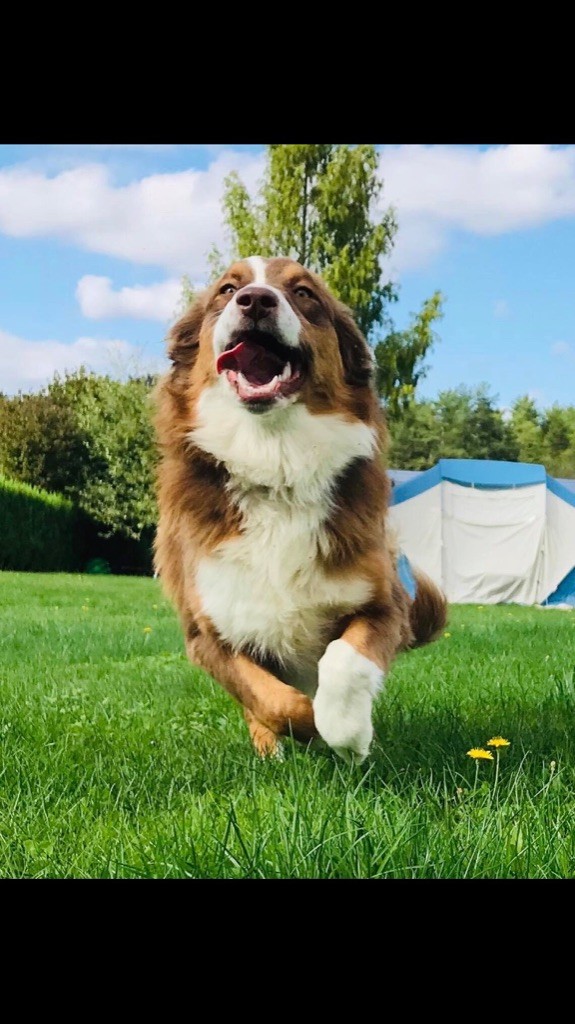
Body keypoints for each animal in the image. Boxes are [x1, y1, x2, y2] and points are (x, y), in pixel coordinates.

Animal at [154, 256, 447, 763]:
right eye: (226, 289)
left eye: (304, 293)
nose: (254, 300)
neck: (276, 464)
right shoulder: (206, 632)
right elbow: (274, 702)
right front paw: (315, 732)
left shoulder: (383, 604)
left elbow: (345, 663)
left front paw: (349, 733)